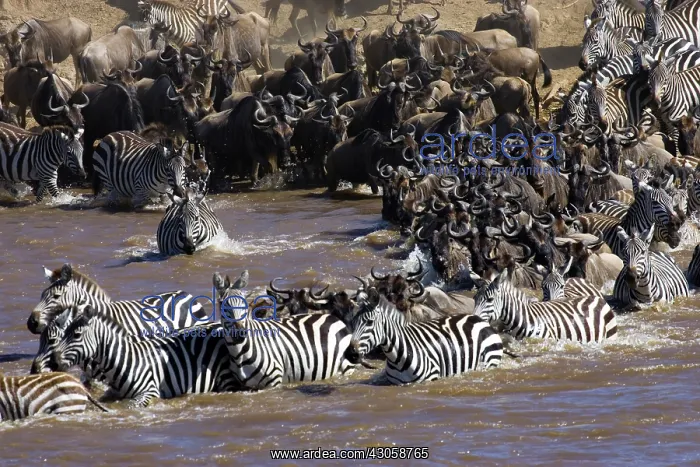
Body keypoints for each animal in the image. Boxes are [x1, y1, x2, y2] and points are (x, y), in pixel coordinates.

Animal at [51, 303, 239, 407]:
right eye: (64, 333)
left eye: (76, 335)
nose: (54, 361)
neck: (126, 361)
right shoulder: (112, 393)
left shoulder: (150, 391)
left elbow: (131, 407)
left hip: (226, 378)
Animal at [345, 288, 503, 385]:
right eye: (352, 322)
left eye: (369, 322)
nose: (351, 354)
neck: (396, 358)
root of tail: (476, 318)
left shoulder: (431, 378)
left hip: (490, 361)